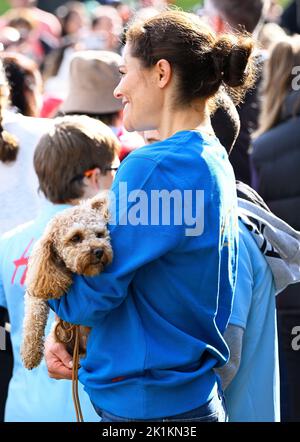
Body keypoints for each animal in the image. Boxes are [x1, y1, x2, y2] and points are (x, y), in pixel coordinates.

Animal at [20, 195, 112, 372]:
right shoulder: (39, 287)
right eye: (75, 237)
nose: (99, 251)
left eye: (99, 234)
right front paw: (30, 354)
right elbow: (33, 318)